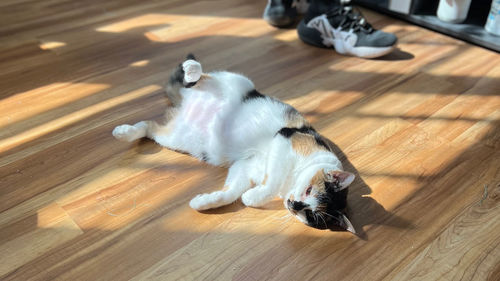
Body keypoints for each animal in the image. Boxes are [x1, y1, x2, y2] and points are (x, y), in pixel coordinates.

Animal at [113, 54, 356, 232]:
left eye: (309, 214)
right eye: (308, 190)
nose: (294, 205)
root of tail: (184, 104)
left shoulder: (245, 166)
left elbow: (230, 192)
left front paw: (205, 202)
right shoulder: (284, 139)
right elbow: (271, 183)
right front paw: (252, 197)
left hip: (178, 138)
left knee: (149, 126)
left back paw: (124, 132)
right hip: (236, 82)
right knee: (198, 78)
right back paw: (191, 69)